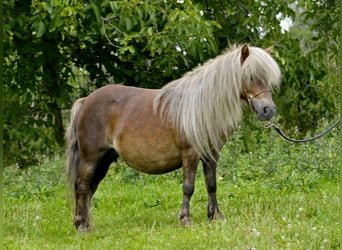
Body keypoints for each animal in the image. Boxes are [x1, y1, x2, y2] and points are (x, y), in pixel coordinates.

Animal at [65, 44, 280, 231]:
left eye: (268, 78)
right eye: (250, 76)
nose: (268, 110)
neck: (200, 108)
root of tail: (86, 101)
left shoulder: (210, 155)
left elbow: (211, 185)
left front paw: (215, 216)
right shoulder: (190, 154)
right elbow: (188, 187)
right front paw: (185, 220)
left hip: (105, 160)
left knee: (90, 188)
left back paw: (85, 223)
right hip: (91, 158)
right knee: (82, 186)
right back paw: (81, 226)